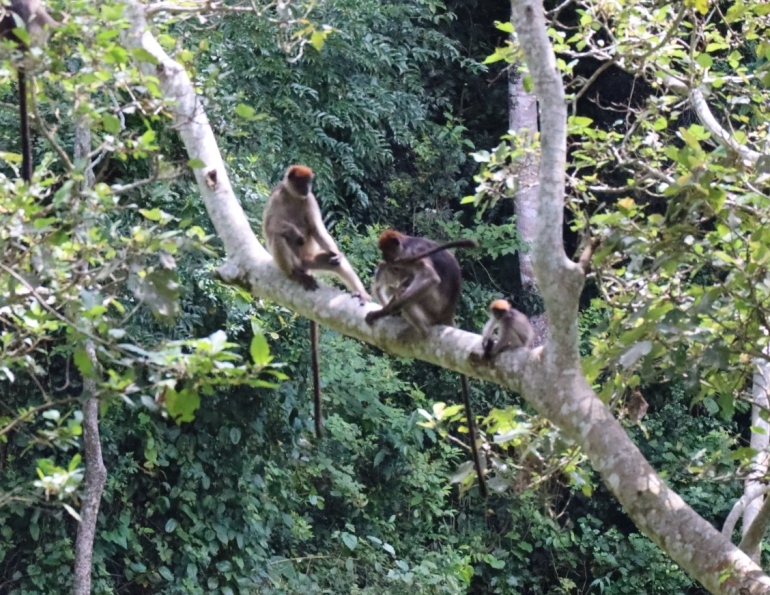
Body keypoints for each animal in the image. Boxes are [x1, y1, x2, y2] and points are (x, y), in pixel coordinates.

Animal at [260, 164, 368, 438]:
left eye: (309, 183)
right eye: (302, 182)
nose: (308, 188)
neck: (292, 196)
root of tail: (304, 263)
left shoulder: (310, 202)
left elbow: (319, 232)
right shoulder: (277, 196)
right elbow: (270, 228)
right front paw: (292, 232)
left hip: (312, 257)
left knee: (335, 261)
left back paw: (359, 291)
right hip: (294, 260)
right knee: (278, 238)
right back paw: (295, 274)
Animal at [366, 232, 486, 498]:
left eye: (391, 254)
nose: (388, 261)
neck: (407, 243)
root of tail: (448, 313)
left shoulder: (410, 255)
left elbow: (429, 278)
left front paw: (384, 311)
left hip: (432, 308)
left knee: (412, 288)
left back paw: (413, 324)